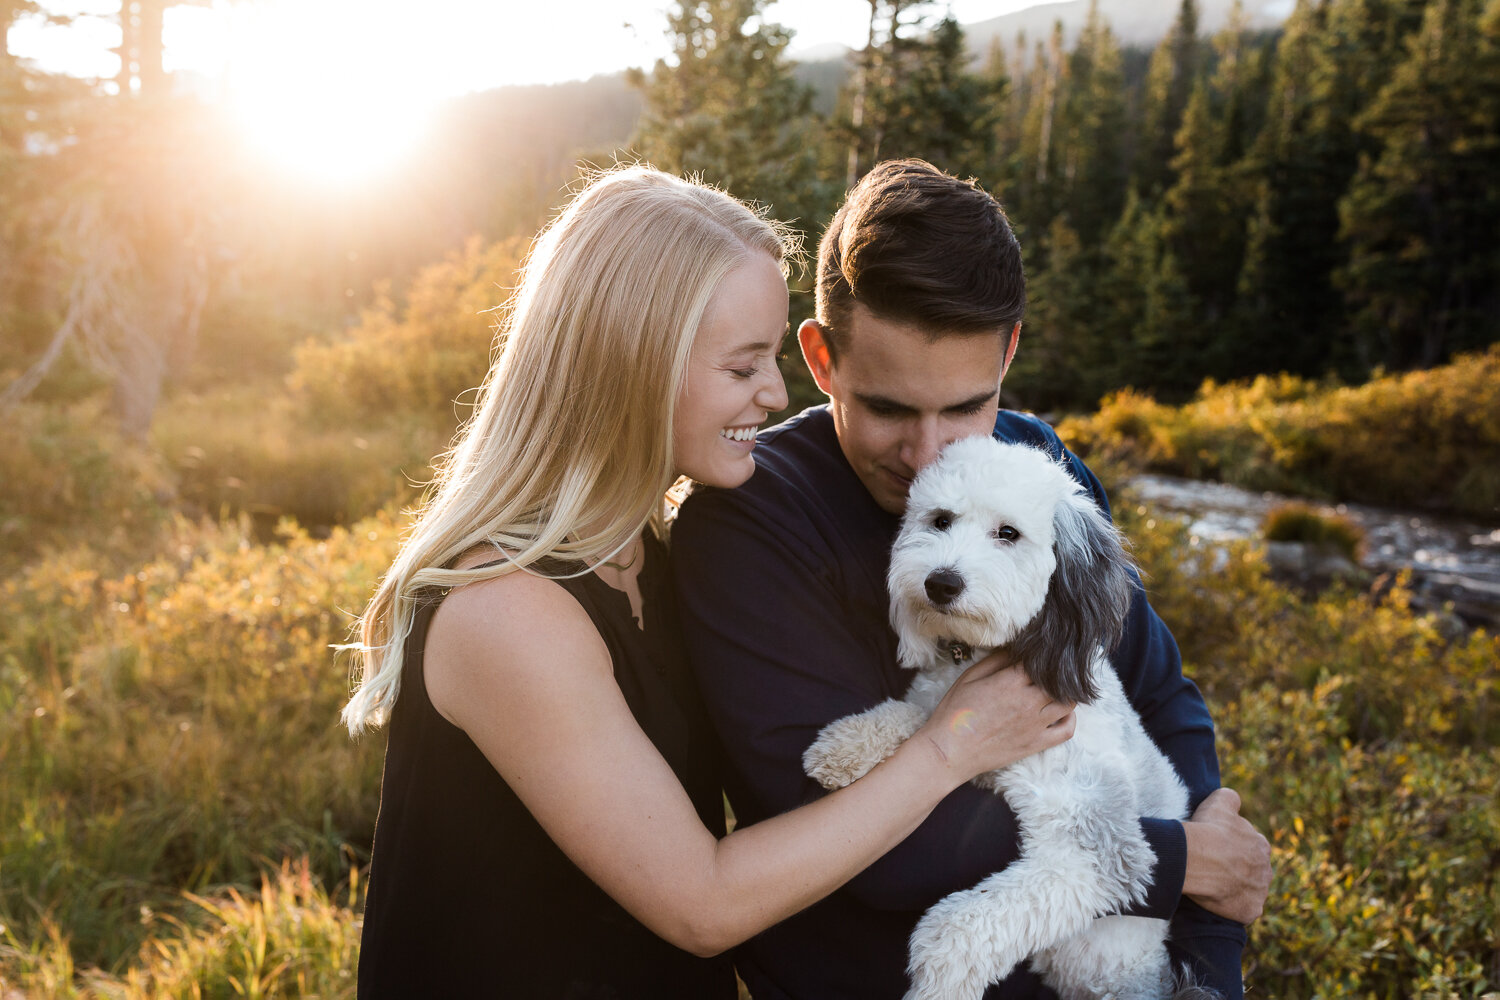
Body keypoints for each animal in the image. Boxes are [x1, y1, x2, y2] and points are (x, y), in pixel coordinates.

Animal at [804, 434, 1212, 1000]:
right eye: (941, 520)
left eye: (1008, 533)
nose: (941, 583)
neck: (980, 654)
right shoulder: (947, 713)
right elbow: (920, 718)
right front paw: (846, 744)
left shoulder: (1101, 849)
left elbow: (960, 926)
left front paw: (939, 983)